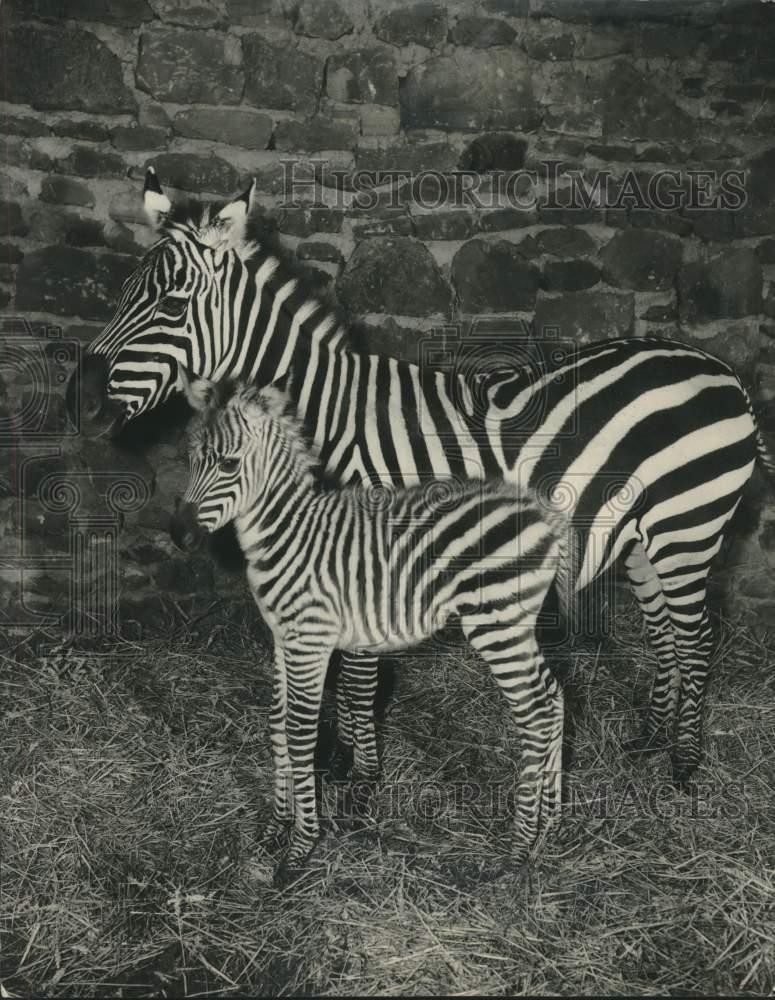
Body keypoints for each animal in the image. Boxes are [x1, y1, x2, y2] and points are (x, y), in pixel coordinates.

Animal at [66, 169, 775, 788]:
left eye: (170, 303)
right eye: (123, 293)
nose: (83, 402)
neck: (324, 416)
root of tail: (721, 371)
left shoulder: (361, 547)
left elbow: (356, 676)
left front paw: (363, 777)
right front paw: (339, 760)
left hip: (688, 526)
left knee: (696, 637)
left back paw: (684, 765)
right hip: (642, 536)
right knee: (666, 634)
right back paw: (650, 740)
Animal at [169, 371, 573, 876]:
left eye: (228, 463)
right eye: (190, 458)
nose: (179, 536)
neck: (286, 532)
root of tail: (540, 511)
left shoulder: (311, 639)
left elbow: (301, 732)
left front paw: (300, 846)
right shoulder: (283, 639)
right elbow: (277, 722)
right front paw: (275, 826)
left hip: (495, 623)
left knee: (534, 713)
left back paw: (519, 849)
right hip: (517, 624)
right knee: (553, 697)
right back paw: (550, 827)